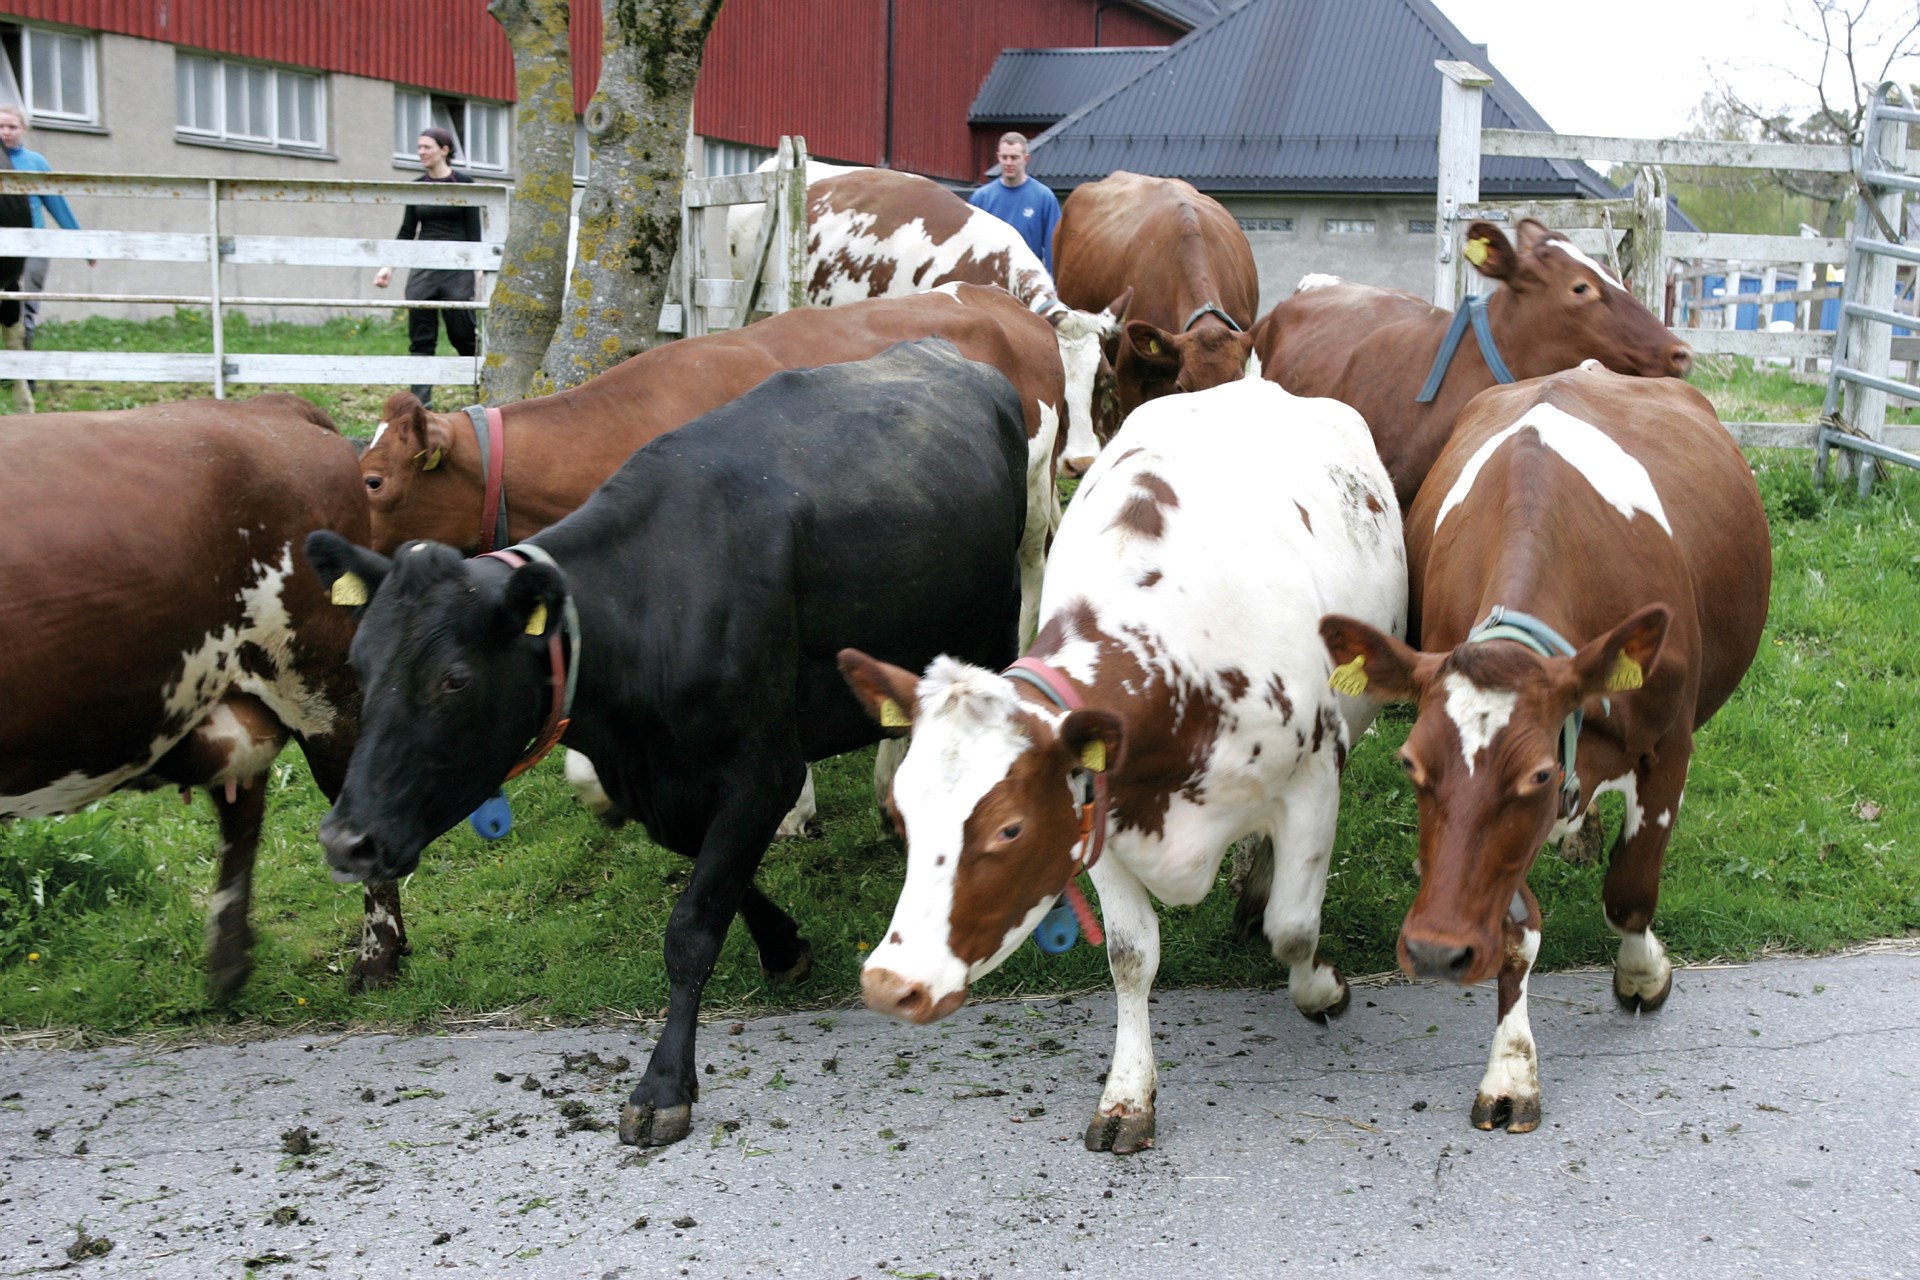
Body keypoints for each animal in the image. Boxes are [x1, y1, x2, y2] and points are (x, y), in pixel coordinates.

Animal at [306, 339, 1031, 1148]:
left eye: (453, 680)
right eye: (359, 662)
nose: (346, 841)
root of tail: (948, 353)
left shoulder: (764, 770)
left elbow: (690, 927)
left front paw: (662, 1085)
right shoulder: (658, 783)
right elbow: (720, 883)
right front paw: (784, 945)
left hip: (995, 629)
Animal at [838, 377, 1407, 1153]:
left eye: (1010, 829)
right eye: (902, 813)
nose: (890, 985)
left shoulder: (1315, 778)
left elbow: (1294, 927)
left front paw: (1324, 990)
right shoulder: (1100, 811)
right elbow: (1131, 958)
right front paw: (1127, 1096)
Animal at [1317, 366, 1770, 1133]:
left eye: (1535, 773)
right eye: (1411, 764)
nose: (1435, 950)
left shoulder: (1669, 745)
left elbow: (1630, 892)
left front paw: (1643, 974)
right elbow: (1516, 932)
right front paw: (1510, 1072)